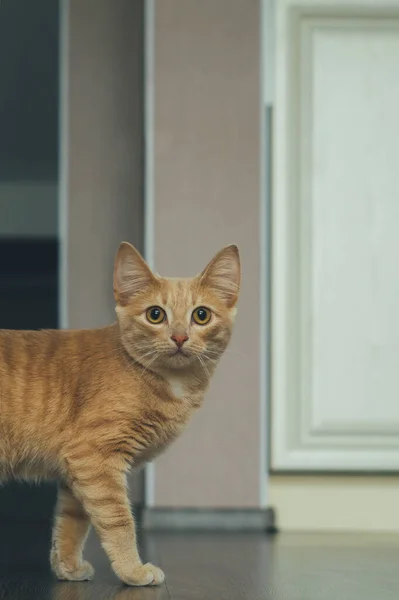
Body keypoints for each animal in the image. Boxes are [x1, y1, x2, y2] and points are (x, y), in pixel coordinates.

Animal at [0, 240, 241, 584]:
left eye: (201, 315)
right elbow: (119, 521)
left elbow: (72, 522)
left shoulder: (76, 469)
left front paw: (68, 567)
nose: (180, 337)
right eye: (155, 315)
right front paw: (133, 571)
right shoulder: (94, 457)